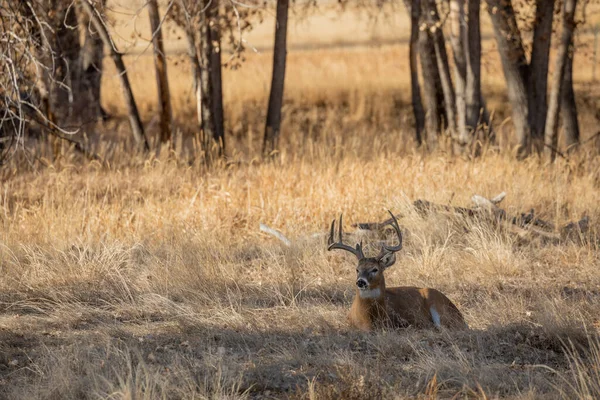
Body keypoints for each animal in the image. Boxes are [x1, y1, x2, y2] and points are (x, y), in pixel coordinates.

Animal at [326, 211, 466, 330]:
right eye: (357, 269)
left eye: (375, 269)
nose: (361, 282)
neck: (366, 321)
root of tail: (462, 318)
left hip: (437, 304)